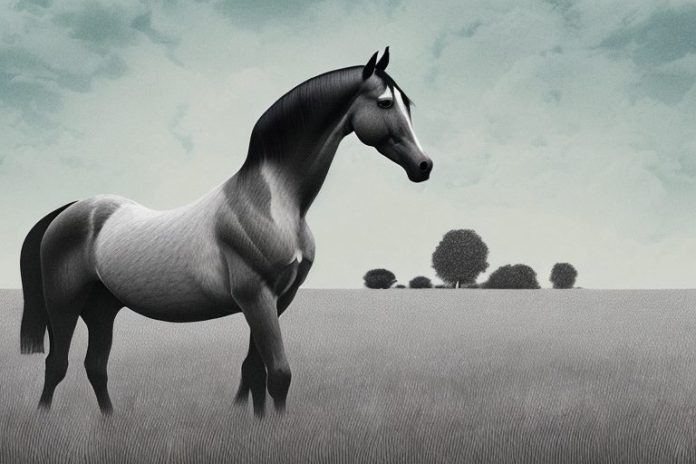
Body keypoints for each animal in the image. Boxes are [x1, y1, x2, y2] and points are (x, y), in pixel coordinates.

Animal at [19, 47, 432, 417]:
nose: (424, 166)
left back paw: (110, 422)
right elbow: (279, 374)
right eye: (384, 103)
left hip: (102, 309)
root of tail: (70, 211)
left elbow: (254, 371)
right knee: (57, 364)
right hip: (65, 302)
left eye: (407, 105)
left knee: (95, 366)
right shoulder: (255, 296)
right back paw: (43, 419)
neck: (272, 202)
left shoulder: (277, 299)